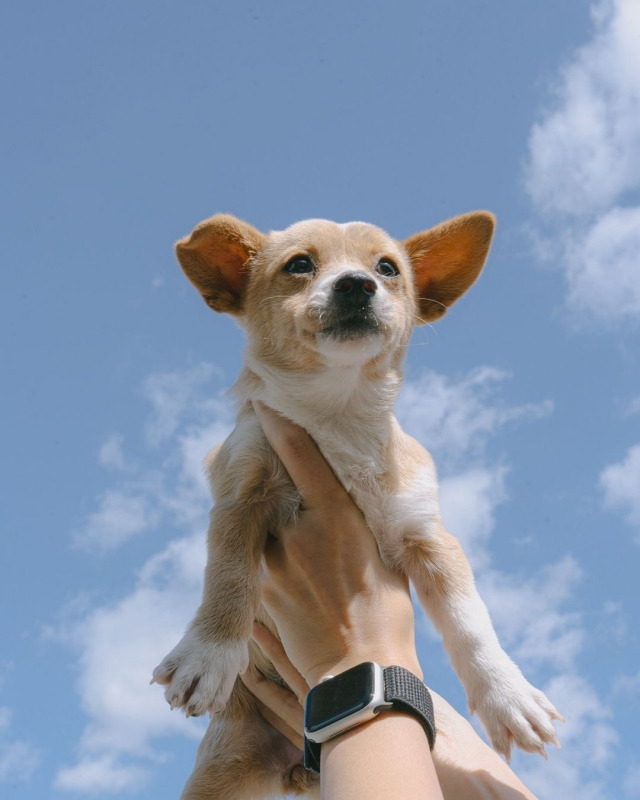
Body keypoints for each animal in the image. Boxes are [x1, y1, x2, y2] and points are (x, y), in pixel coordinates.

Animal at [152, 212, 564, 800]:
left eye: (387, 268)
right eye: (300, 264)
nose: (356, 284)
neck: (337, 413)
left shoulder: (428, 534)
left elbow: (470, 619)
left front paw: (509, 695)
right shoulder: (238, 497)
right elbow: (229, 577)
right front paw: (208, 653)